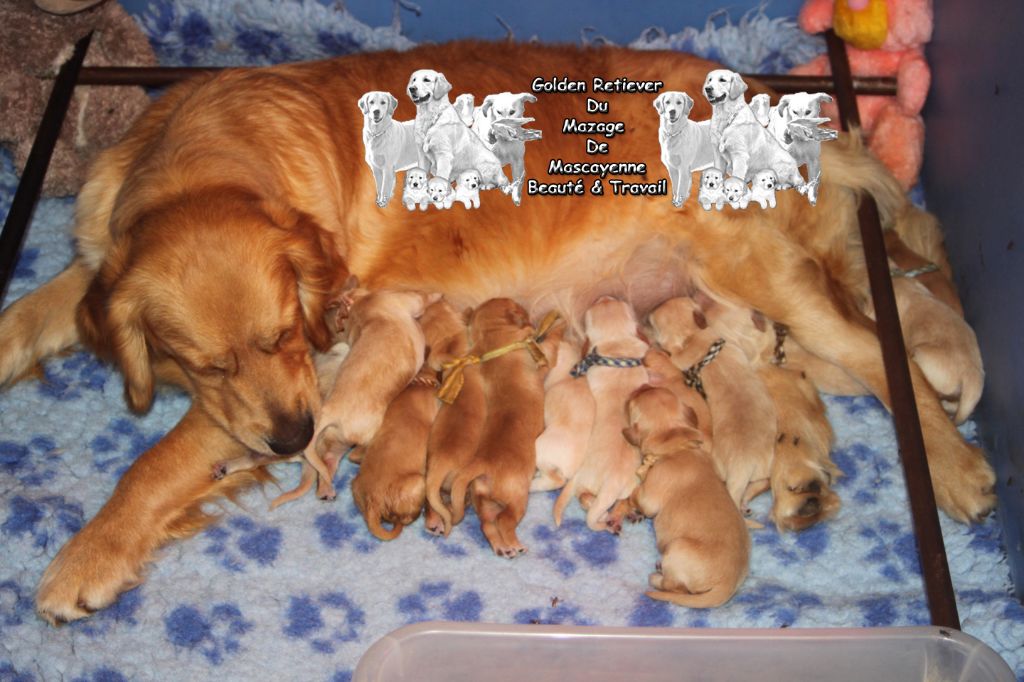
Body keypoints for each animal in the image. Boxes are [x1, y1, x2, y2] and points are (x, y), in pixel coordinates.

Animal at [447, 299, 551, 557]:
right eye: (517, 306)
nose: (528, 310)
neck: (495, 342)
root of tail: (482, 464)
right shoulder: (539, 367)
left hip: (483, 501)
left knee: (486, 525)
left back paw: (503, 548)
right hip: (517, 498)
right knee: (504, 521)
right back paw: (515, 545)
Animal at [555, 297, 649, 533]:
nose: (605, 297)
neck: (618, 353)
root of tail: (610, 484)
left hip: (588, 481)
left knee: (586, 498)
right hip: (628, 486)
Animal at [623, 386, 750, 608]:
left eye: (632, 402)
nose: (641, 386)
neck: (679, 446)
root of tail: (727, 585)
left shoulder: (651, 496)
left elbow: (638, 495)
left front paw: (641, 474)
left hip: (677, 548)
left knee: (675, 587)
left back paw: (656, 577)